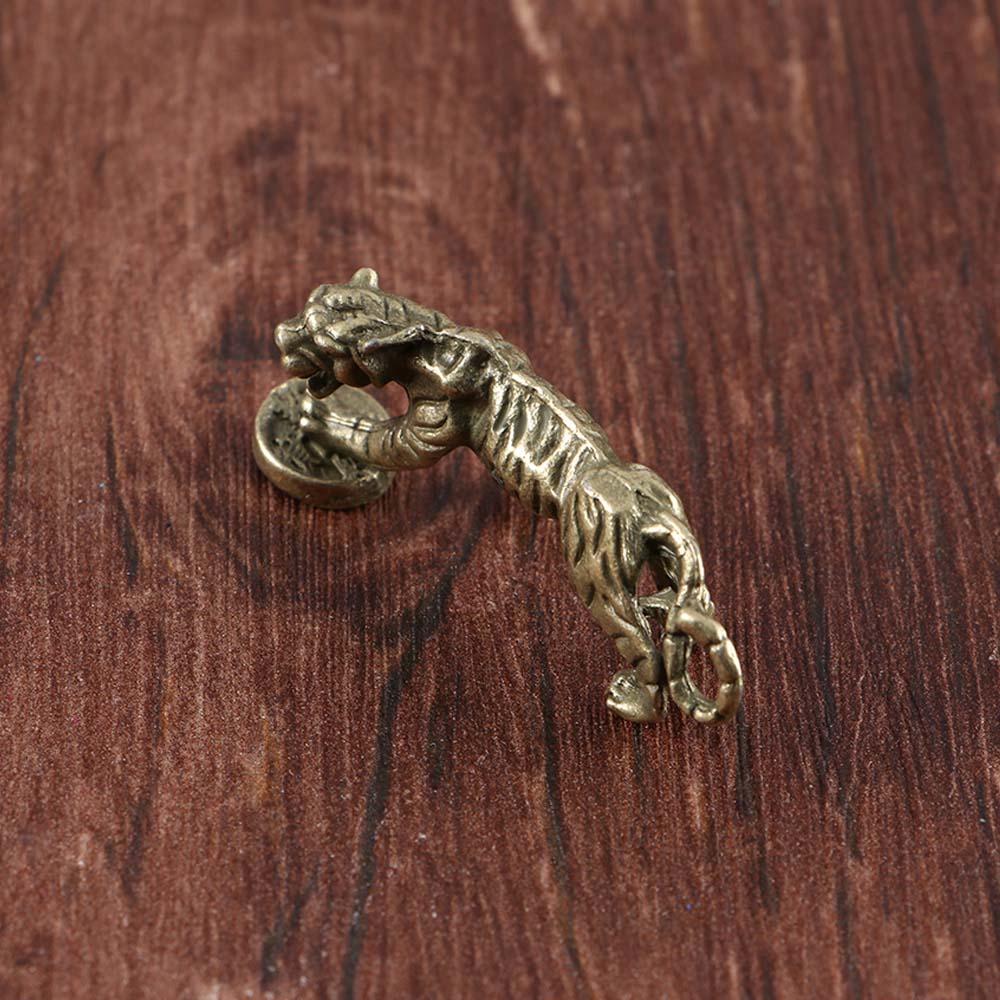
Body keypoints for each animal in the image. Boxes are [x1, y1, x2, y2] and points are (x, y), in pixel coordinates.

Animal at [272, 267, 742, 724]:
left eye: (315, 334)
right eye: (306, 307)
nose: (280, 331)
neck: (424, 337)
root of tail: (650, 509)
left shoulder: (423, 428)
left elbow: (368, 438)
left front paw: (320, 423)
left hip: (597, 575)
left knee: (645, 651)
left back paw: (635, 702)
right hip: (670, 557)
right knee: (688, 608)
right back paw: (661, 607)